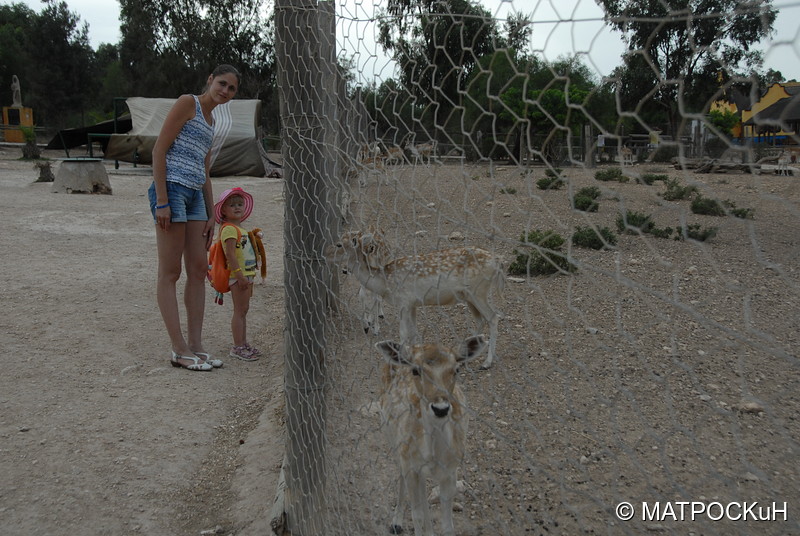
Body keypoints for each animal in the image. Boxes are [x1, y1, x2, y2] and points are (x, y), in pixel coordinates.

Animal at [328, 230, 504, 368]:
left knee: (493, 317)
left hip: (479, 291)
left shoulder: (404, 302)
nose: (325, 254)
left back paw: (487, 362)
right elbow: (414, 333)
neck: (385, 282)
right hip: (468, 296)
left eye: (338, 244)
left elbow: (403, 334)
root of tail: (497, 261)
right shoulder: (413, 304)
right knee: (480, 320)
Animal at [376, 336, 488, 536]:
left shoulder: (451, 471)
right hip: (391, 438)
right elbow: (417, 516)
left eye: (456, 369)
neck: (434, 456)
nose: (440, 408)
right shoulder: (410, 465)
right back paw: (396, 523)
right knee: (401, 476)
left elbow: (447, 525)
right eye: (416, 370)